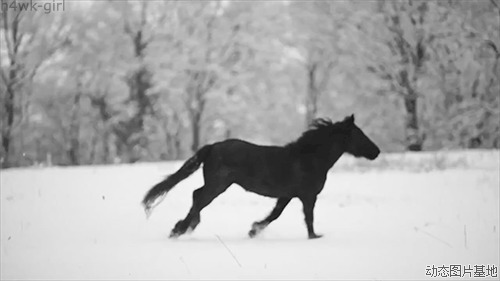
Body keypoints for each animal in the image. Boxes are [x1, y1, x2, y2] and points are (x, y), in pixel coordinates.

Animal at [143, 114, 380, 238]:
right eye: (359, 134)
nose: (376, 151)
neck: (309, 159)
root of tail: (212, 147)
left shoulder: (287, 195)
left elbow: (275, 214)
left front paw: (254, 229)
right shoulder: (308, 195)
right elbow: (308, 217)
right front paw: (314, 237)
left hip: (216, 185)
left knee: (196, 196)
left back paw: (187, 226)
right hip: (218, 185)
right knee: (199, 198)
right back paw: (180, 229)